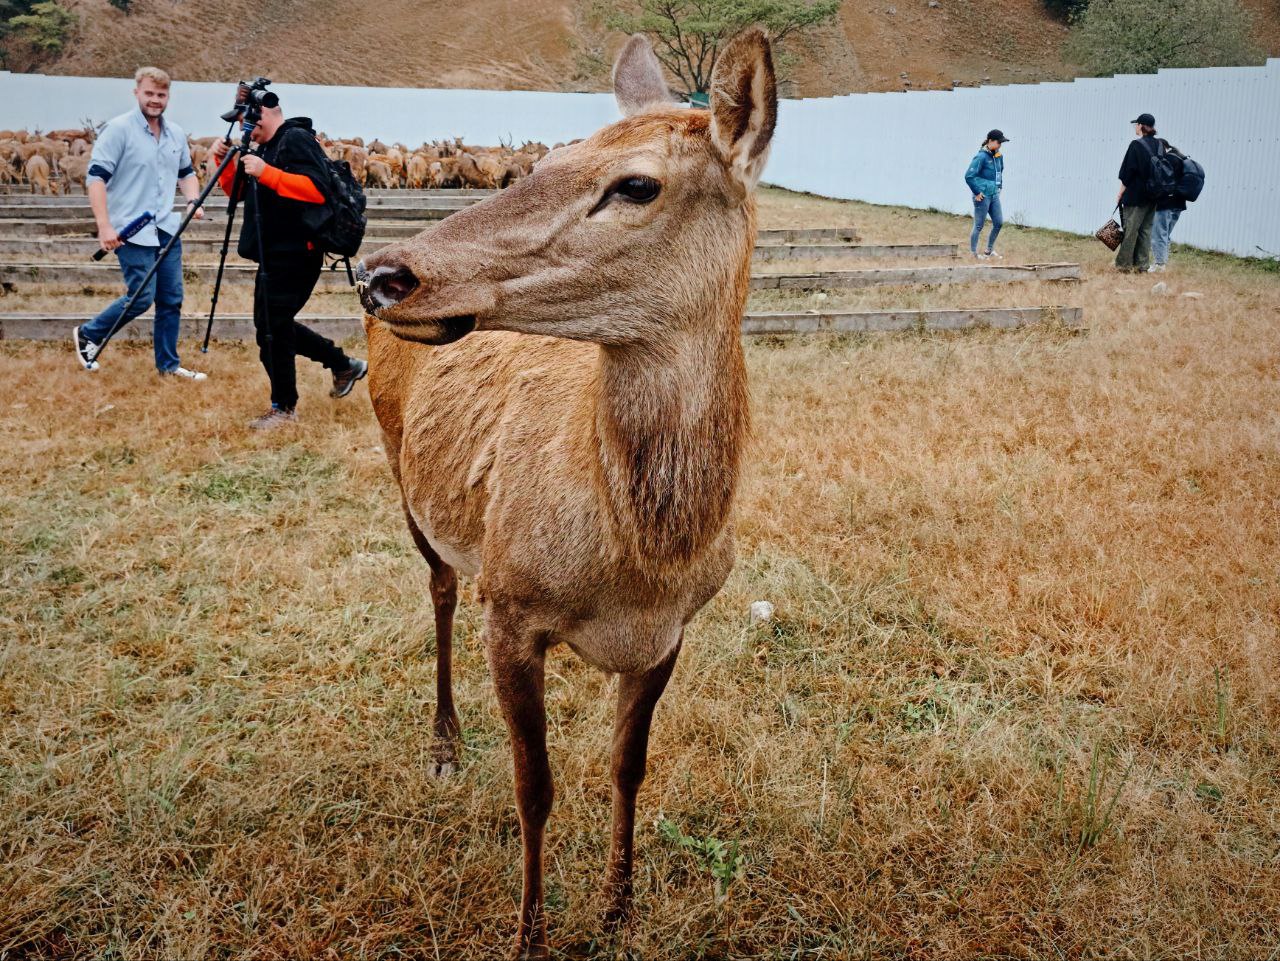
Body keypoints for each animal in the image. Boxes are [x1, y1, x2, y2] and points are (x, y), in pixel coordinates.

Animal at [355, 26, 773, 957]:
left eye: (637, 184)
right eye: (547, 158)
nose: (383, 273)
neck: (645, 557)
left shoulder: (671, 632)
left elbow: (629, 765)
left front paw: (619, 905)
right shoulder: (511, 610)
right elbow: (534, 785)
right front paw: (529, 933)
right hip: (402, 472)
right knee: (440, 587)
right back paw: (444, 741)